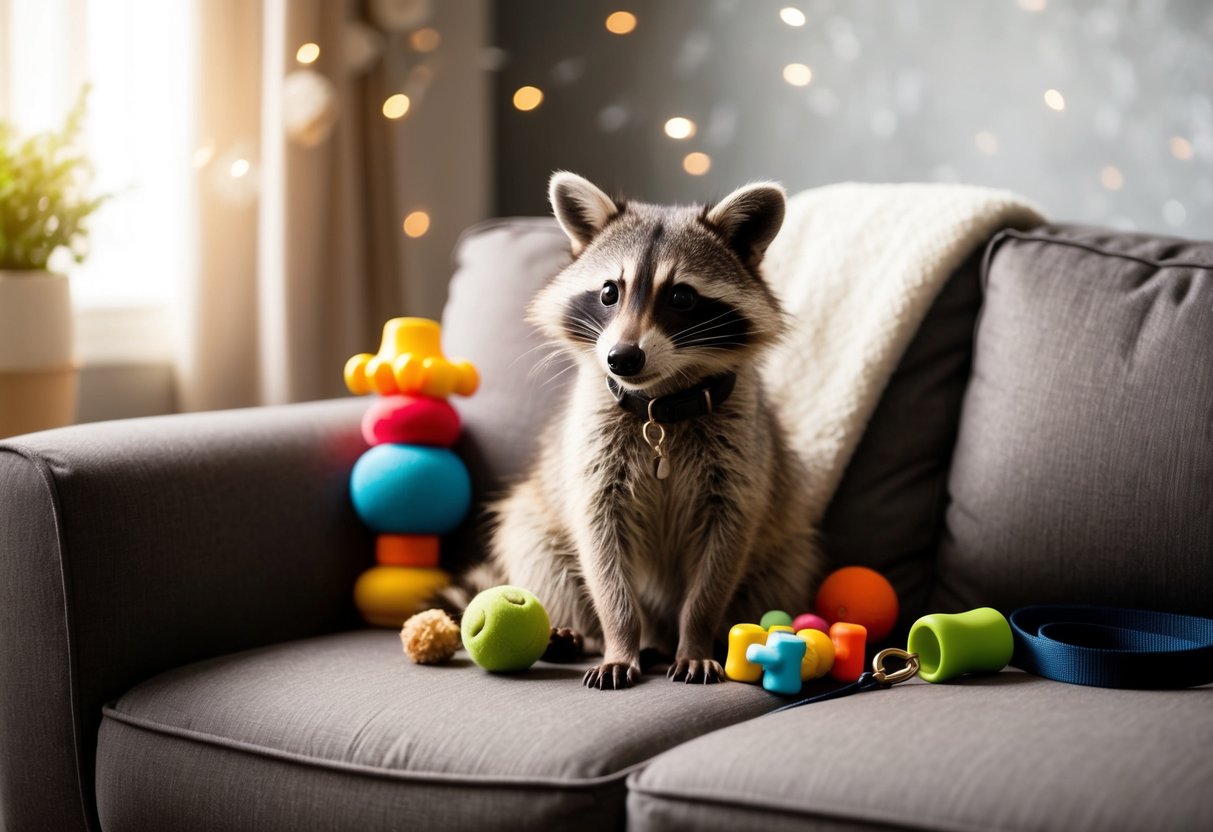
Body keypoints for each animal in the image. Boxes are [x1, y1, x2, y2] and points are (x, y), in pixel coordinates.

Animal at [461, 172, 820, 689]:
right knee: (536, 548)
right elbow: (600, 549)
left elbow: (723, 551)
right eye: (609, 292)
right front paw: (619, 637)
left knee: (781, 568)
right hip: (536, 518)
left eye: (682, 297)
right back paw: (586, 634)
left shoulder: (742, 457)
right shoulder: (593, 449)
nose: (622, 358)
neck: (659, 404)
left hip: (783, 547)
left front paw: (697, 637)